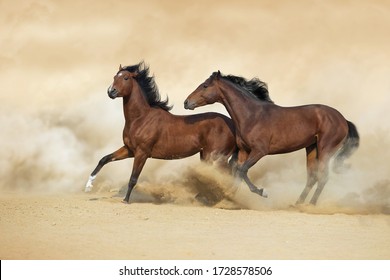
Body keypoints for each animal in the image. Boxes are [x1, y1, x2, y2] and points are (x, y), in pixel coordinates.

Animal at [85, 63, 236, 203]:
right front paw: (88, 186)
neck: (141, 118)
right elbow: (104, 159)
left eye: (126, 78)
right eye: (114, 77)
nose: (111, 92)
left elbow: (133, 178)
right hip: (205, 156)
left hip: (216, 158)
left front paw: (126, 200)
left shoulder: (142, 153)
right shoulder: (129, 150)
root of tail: (231, 123)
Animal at [184, 71, 362, 205]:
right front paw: (227, 198)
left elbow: (242, 171)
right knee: (312, 177)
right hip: (312, 148)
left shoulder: (259, 151)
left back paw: (310, 205)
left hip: (325, 149)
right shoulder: (243, 151)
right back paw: (297, 204)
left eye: (205, 85)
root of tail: (343, 119)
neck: (251, 116)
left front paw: (261, 192)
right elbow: (237, 173)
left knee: (323, 177)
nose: (186, 102)